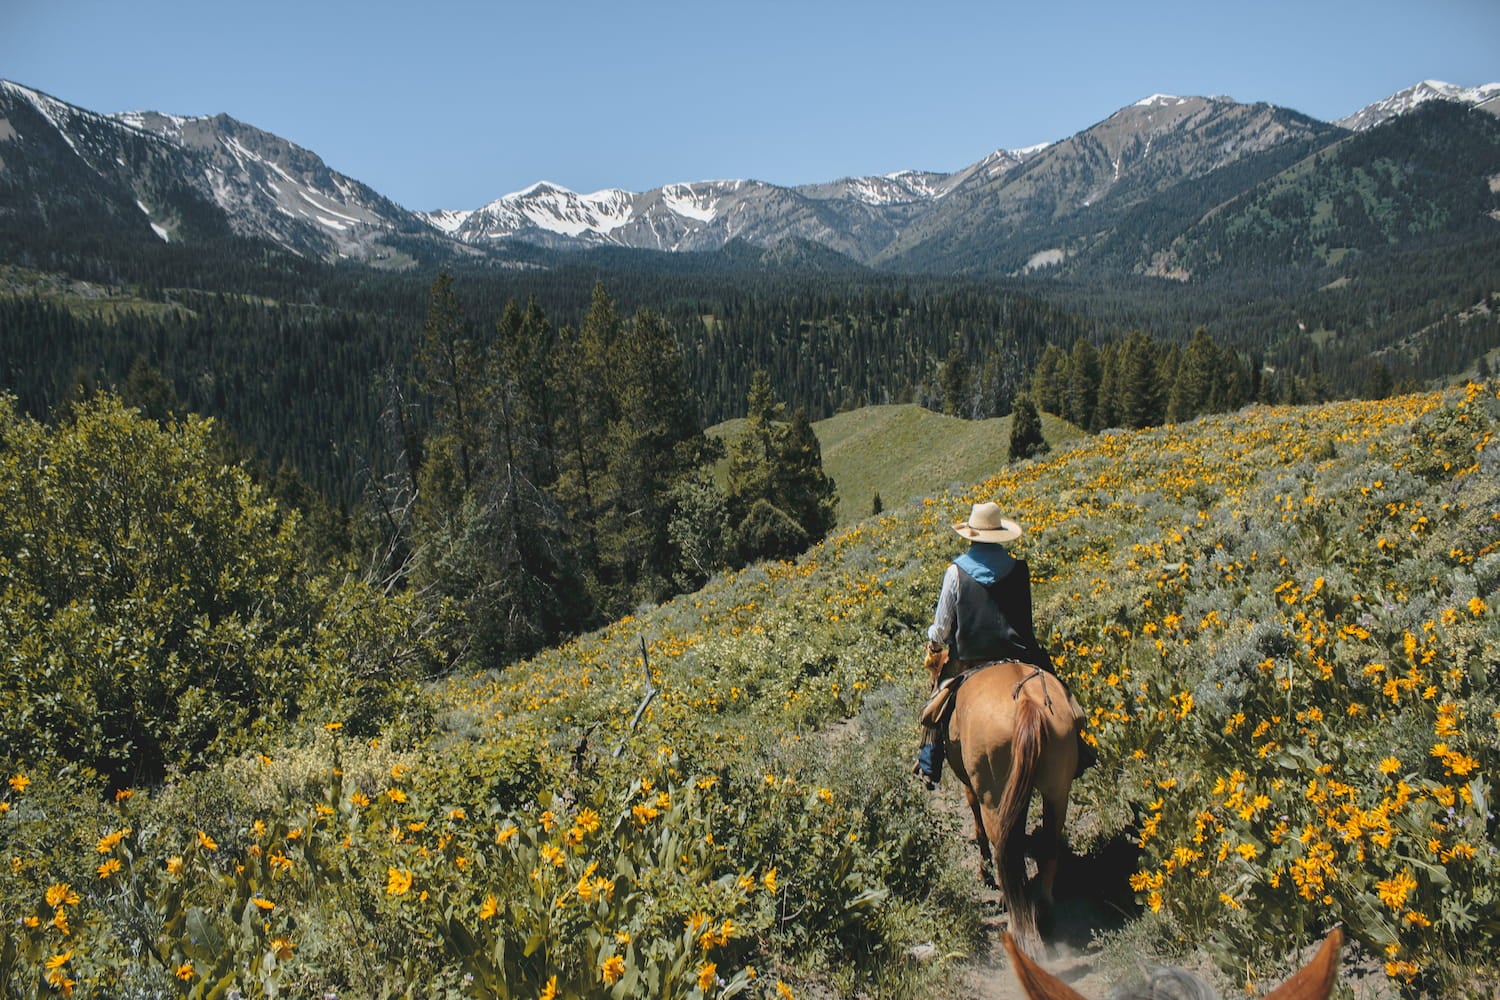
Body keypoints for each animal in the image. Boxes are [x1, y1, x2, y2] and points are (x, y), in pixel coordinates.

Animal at [924, 644, 1080, 959]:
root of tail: (1027, 704)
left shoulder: (972, 786)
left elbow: (977, 823)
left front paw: (984, 873)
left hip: (993, 794)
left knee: (1005, 848)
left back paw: (1016, 921)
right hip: (1057, 788)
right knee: (1047, 845)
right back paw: (1044, 914)